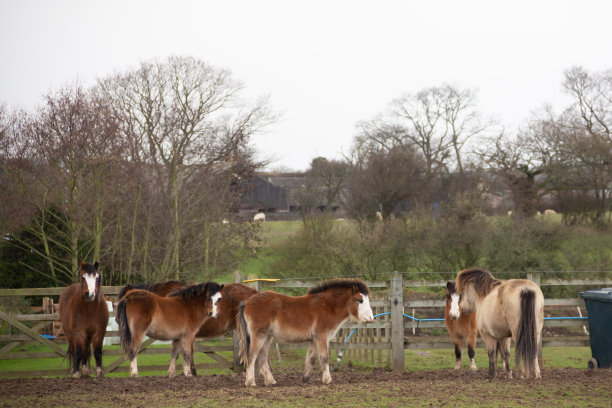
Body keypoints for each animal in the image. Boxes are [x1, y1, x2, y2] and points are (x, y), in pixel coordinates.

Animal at [116, 282, 256, 374]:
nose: (117, 320)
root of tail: (254, 293)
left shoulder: (187, 335)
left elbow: (185, 354)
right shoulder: (185, 335)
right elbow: (183, 354)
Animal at [238, 278, 372, 388]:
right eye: (359, 300)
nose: (370, 318)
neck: (327, 306)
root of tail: (247, 302)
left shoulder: (313, 340)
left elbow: (311, 359)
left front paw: (305, 379)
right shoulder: (322, 338)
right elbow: (324, 357)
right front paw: (327, 380)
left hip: (267, 337)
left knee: (262, 356)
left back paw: (270, 381)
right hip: (259, 335)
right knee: (252, 355)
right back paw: (250, 382)